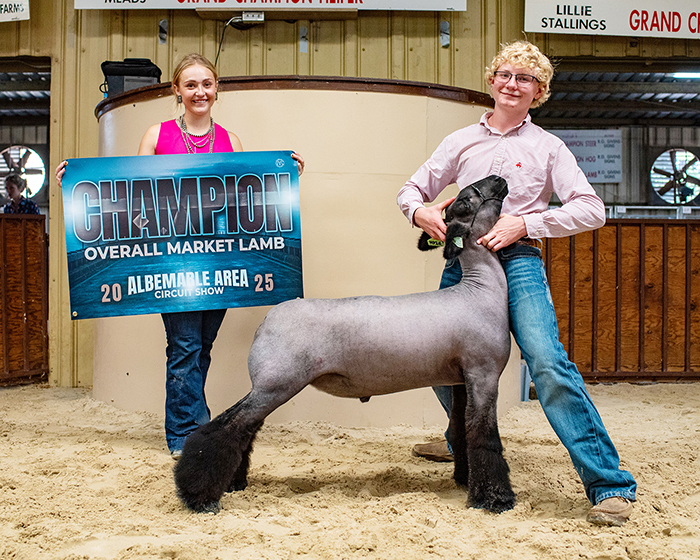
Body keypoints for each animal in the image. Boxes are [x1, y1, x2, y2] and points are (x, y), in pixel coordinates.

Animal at [174, 174, 515, 515]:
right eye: (468, 199)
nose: (500, 179)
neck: (479, 288)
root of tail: (268, 320)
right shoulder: (484, 373)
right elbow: (485, 436)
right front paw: (494, 499)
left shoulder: (461, 378)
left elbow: (461, 430)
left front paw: (465, 481)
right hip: (276, 382)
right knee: (226, 428)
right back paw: (199, 496)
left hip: (270, 384)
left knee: (245, 429)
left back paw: (234, 483)